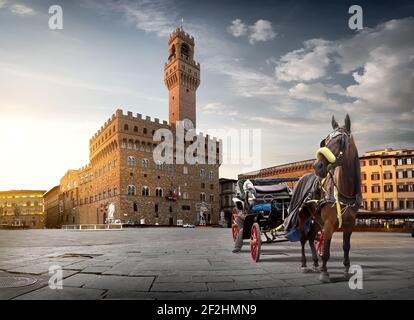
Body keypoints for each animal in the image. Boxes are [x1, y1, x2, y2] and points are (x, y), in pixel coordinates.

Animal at [300, 114, 360, 282]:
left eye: (341, 141)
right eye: (325, 141)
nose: (317, 166)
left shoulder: (350, 223)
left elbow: (346, 246)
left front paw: (346, 269)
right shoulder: (328, 223)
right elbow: (326, 248)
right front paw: (324, 272)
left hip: (316, 219)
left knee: (310, 237)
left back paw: (315, 263)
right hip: (303, 217)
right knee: (303, 238)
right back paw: (305, 264)